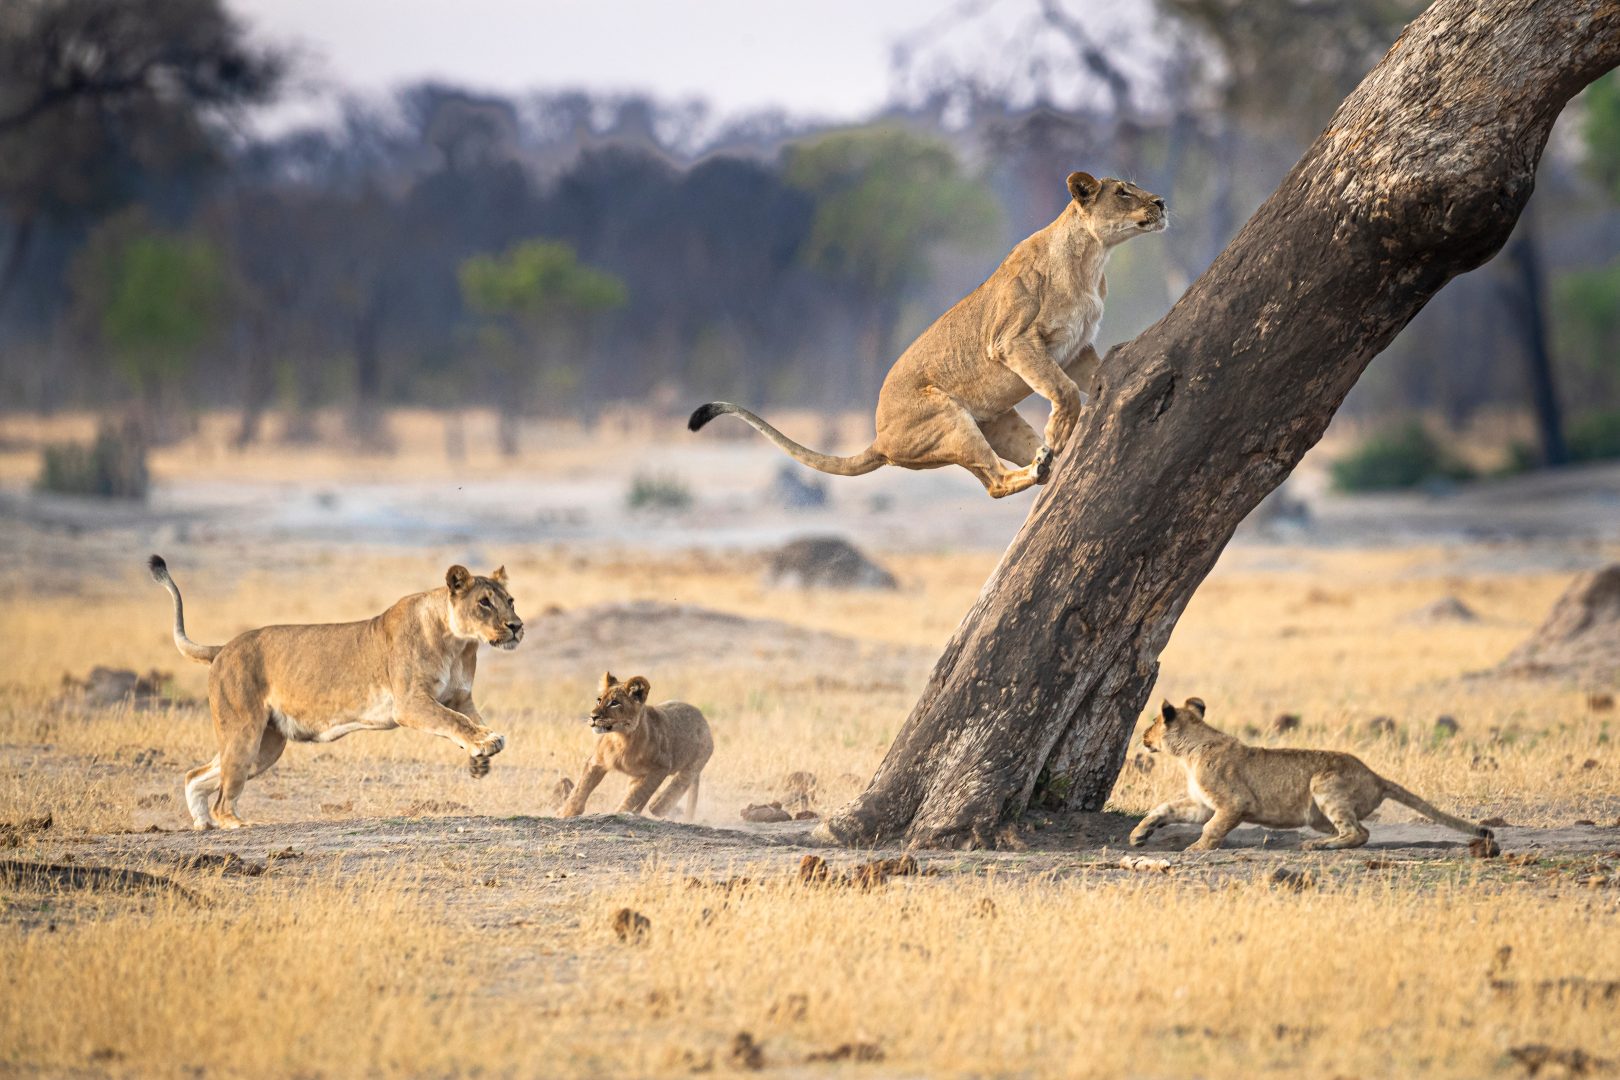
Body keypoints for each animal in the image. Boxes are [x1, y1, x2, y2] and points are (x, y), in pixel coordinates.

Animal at [148, 555, 521, 830]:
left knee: (198, 775)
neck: (458, 643)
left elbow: (469, 719)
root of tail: (222, 648)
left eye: (510, 601)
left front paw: (480, 755)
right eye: (484, 603)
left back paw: (202, 823)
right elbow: (453, 721)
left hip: (266, 745)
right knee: (224, 795)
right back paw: (237, 824)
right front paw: (484, 744)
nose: (516, 626)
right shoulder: (410, 703)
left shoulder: (460, 697)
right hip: (245, 733)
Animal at [558, 672, 713, 820]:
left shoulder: (661, 766)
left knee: (681, 782)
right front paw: (566, 813)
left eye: (615, 703)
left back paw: (658, 806)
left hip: (695, 762)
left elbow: (638, 794)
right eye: (599, 700)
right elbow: (581, 788)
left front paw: (622, 813)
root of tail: (701, 716)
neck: (622, 739)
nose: (593, 716)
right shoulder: (596, 761)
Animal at [688, 171, 1166, 498]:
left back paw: (1045, 463)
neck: (1092, 260)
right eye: (1123, 191)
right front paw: (1061, 430)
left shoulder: (1076, 346)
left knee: (1005, 473)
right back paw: (1041, 463)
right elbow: (1063, 389)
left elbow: (1093, 373)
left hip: (997, 420)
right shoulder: (1011, 340)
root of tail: (880, 440)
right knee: (993, 482)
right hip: (947, 417)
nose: (1162, 201)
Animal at [1129, 697, 1494, 852]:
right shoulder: (1202, 803)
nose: (1143, 736)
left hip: (1324, 785)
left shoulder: (1234, 802)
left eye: (1153, 722)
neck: (1188, 753)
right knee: (1359, 830)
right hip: (1319, 814)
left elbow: (1212, 827)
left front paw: (1198, 848)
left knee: (1358, 832)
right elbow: (1163, 809)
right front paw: (1139, 834)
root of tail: (1376, 776)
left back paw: (1317, 846)